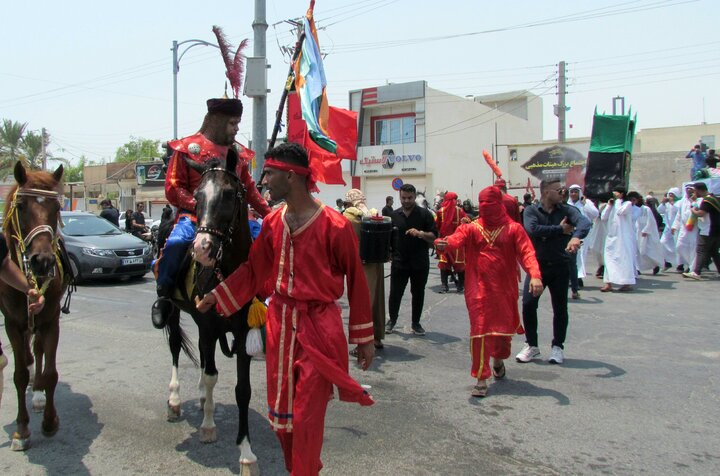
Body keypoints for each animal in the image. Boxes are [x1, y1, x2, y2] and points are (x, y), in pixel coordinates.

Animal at [162, 150, 258, 468]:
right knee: (177, 347)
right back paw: (175, 401)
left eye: (229, 194)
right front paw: (207, 427)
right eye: (196, 196)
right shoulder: (206, 325)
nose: (202, 248)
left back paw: (204, 399)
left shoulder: (242, 331)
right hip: (175, 312)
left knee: (205, 358)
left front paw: (246, 452)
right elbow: (211, 374)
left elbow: (243, 390)